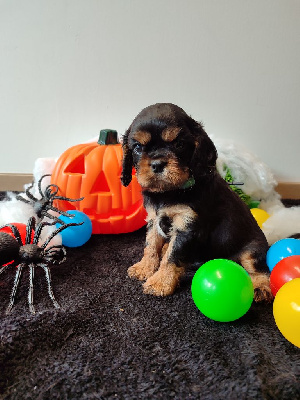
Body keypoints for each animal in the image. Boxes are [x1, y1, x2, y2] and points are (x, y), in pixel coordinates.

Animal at [121, 101, 272, 302]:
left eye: (179, 144)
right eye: (138, 147)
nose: (157, 164)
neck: (171, 192)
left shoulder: (188, 226)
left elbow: (173, 256)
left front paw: (160, 282)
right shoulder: (154, 219)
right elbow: (151, 245)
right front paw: (144, 268)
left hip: (252, 248)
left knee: (258, 269)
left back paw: (261, 288)